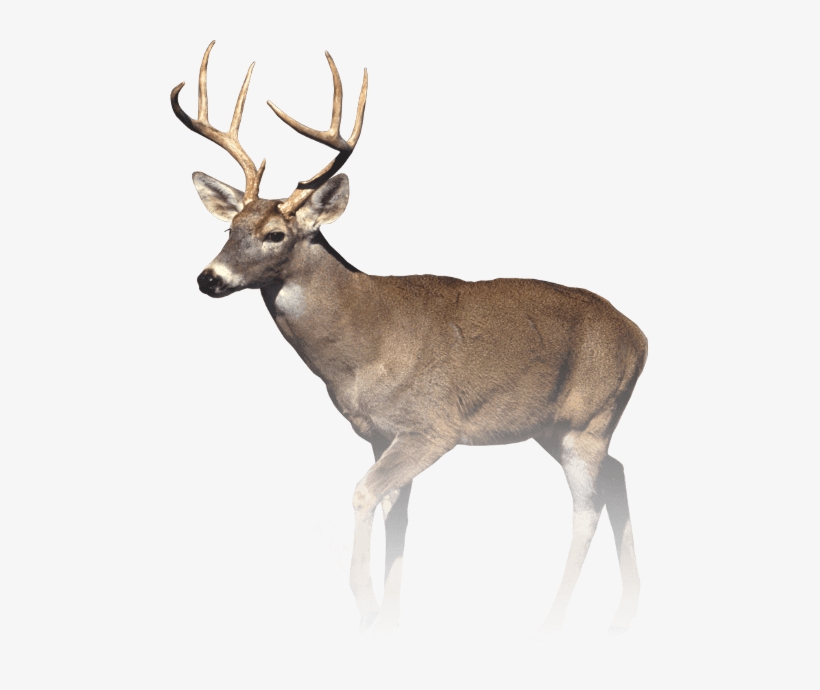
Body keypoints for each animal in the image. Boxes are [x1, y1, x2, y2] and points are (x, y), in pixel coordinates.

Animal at [171, 42, 648, 636]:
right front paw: (391, 618)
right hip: (555, 425)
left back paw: (552, 619)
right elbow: (397, 517)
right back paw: (626, 609)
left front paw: (366, 605)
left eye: (275, 234)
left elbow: (363, 493)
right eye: (228, 229)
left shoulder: (432, 426)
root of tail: (640, 335)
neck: (363, 344)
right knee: (619, 474)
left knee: (586, 507)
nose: (208, 278)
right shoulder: (381, 433)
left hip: (589, 419)